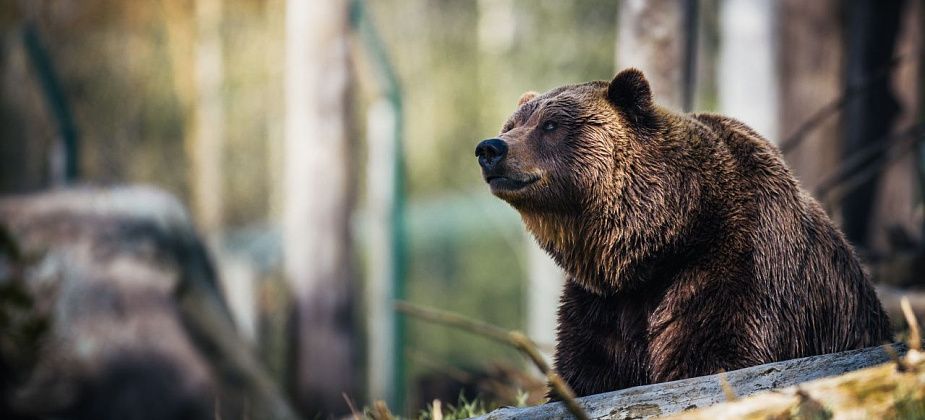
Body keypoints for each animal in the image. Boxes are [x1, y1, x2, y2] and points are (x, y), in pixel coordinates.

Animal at [472, 69, 892, 398]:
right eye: (512, 125)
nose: (490, 148)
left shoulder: (736, 265)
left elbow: (714, 355)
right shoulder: (604, 303)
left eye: (551, 125)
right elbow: (588, 370)